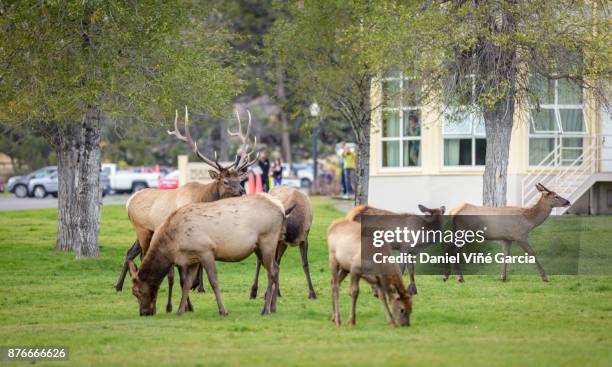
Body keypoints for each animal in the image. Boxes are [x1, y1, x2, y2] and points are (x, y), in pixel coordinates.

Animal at [115, 107, 258, 314]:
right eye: (224, 180)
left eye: (239, 178)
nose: (242, 191)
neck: (202, 197)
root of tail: (128, 201)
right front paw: (189, 297)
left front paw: (197, 287)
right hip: (142, 229)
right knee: (142, 254)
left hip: (145, 231)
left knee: (130, 252)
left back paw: (118, 286)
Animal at [126, 194, 294, 318]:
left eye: (136, 292)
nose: (144, 313)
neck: (173, 246)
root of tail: (282, 210)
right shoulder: (193, 258)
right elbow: (186, 284)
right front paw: (180, 311)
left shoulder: (206, 251)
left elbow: (213, 281)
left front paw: (223, 310)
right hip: (259, 246)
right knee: (277, 268)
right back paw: (274, 307)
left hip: (268, 240)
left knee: (272, 271)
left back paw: (265, 309)